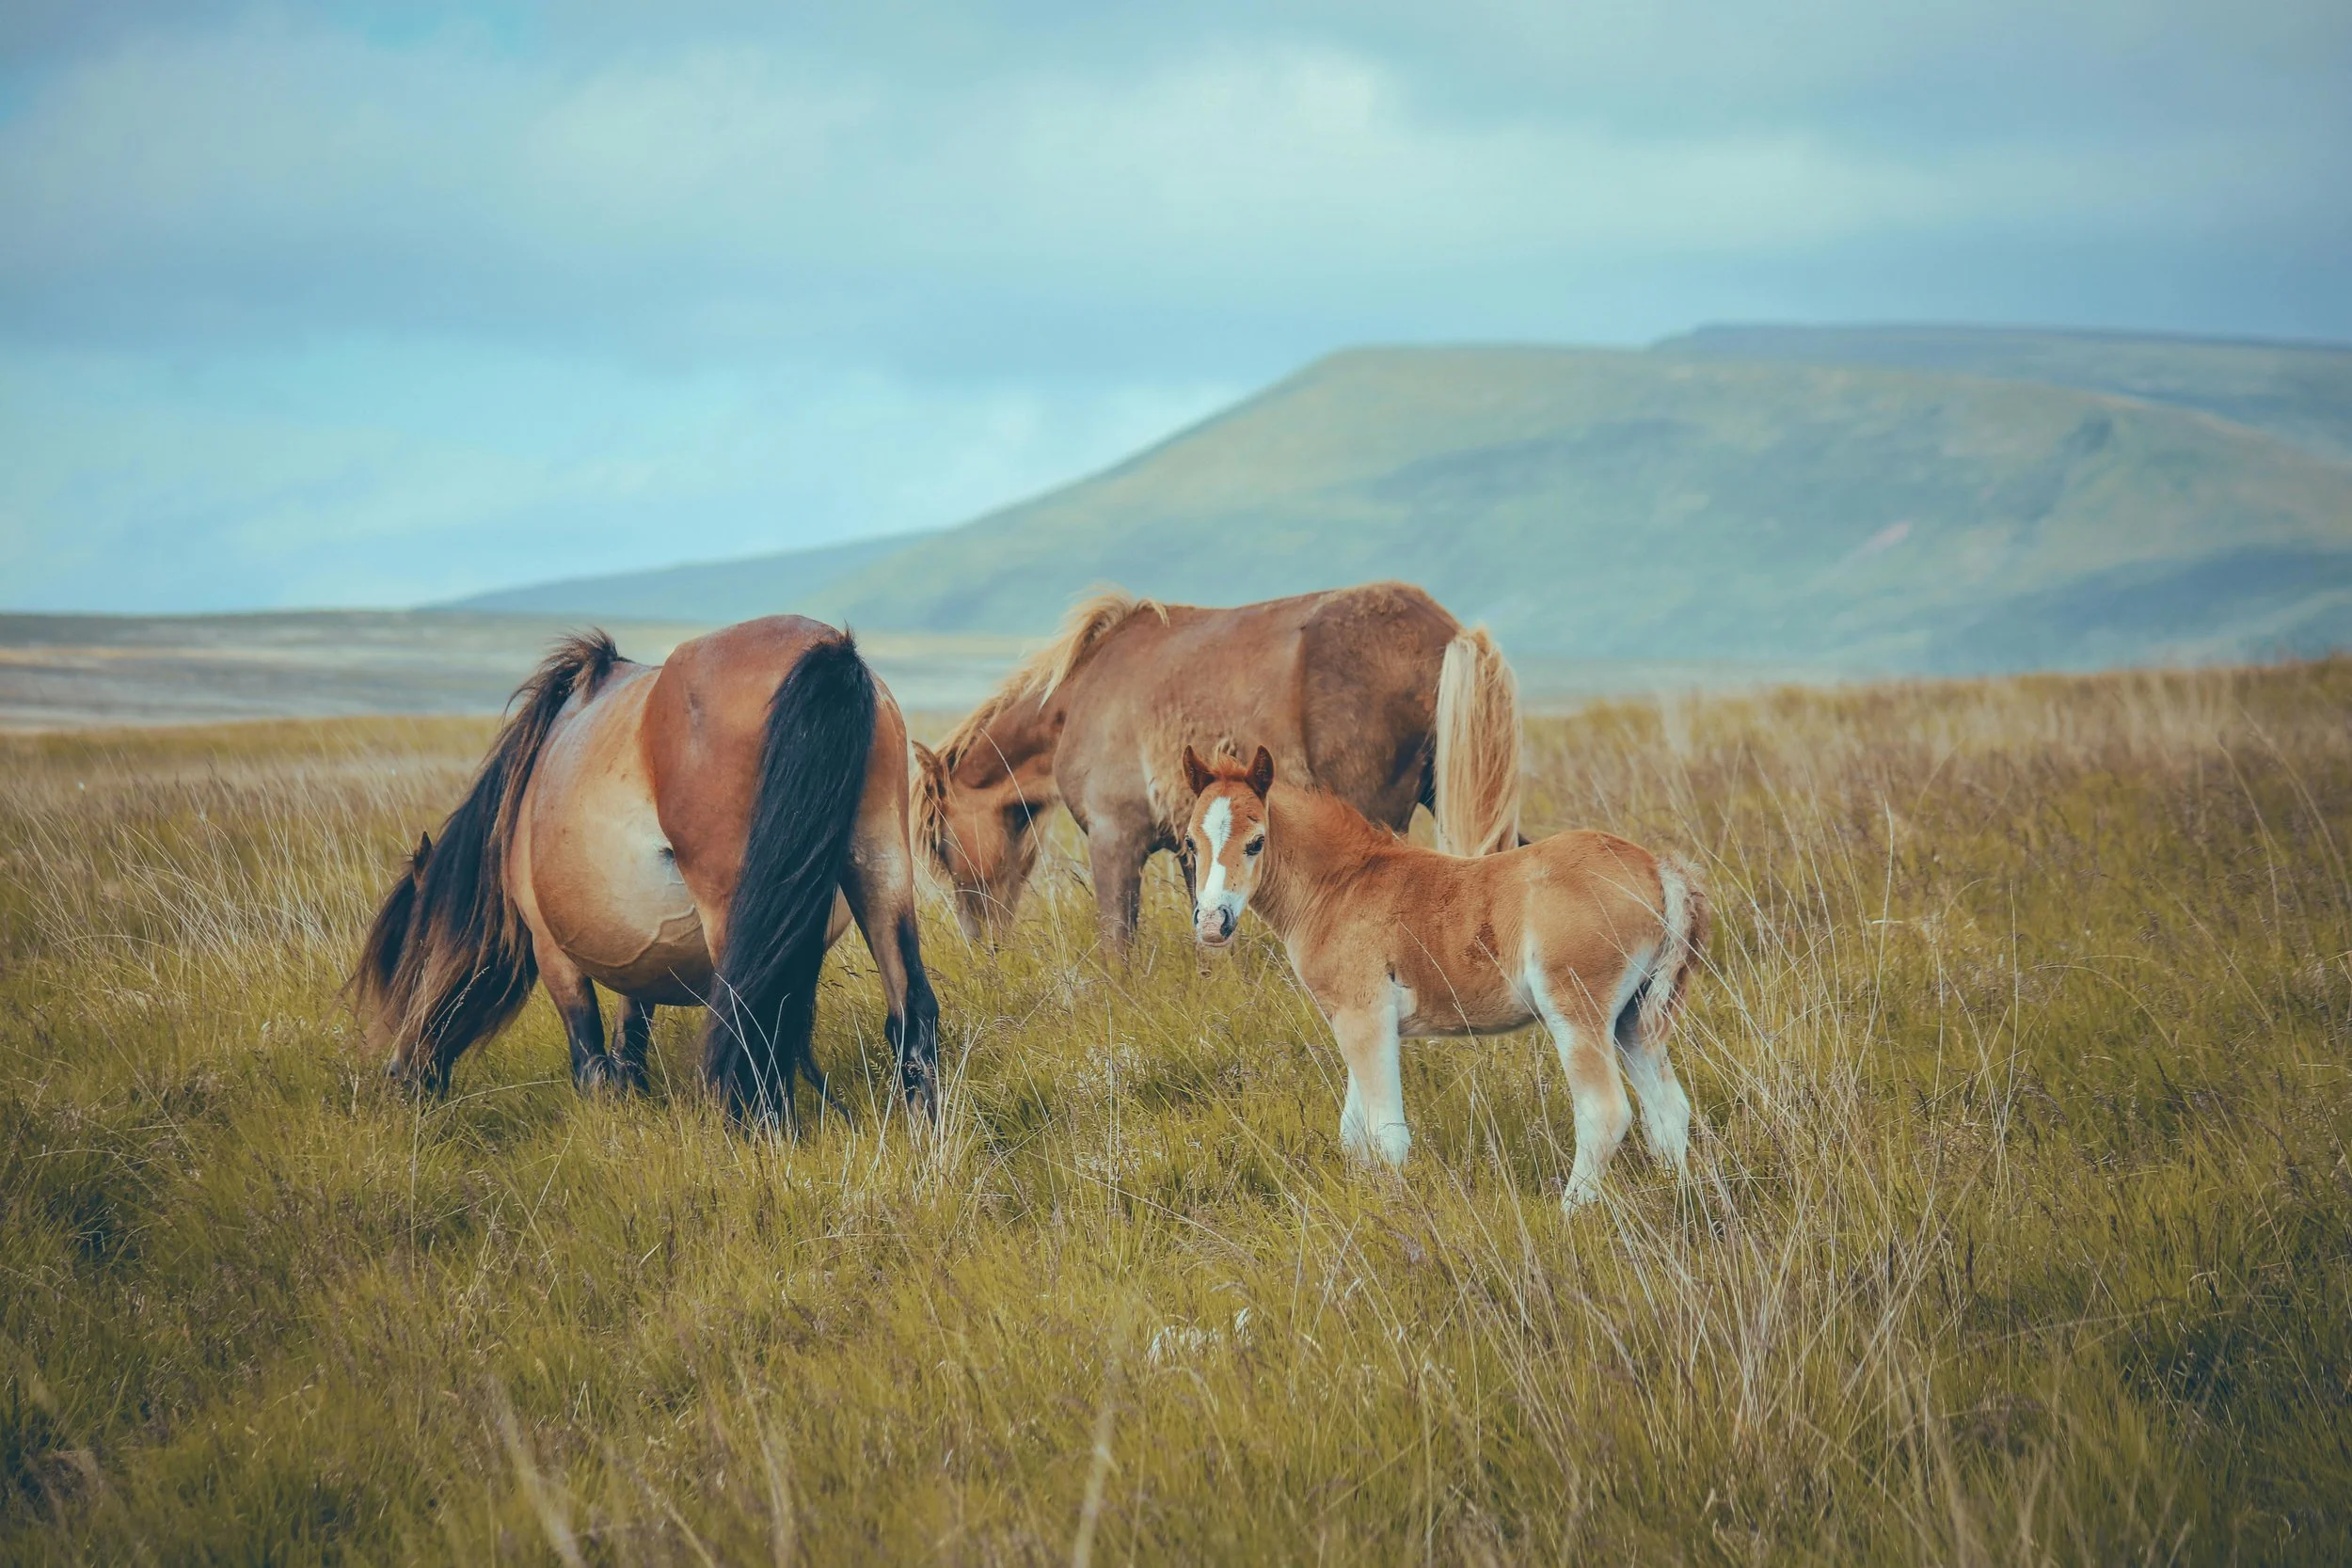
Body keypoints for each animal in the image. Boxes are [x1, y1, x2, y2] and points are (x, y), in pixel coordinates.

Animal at [351, 617, 940, 1127]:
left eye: (410, 960)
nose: (398, 1076)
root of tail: (827, 648)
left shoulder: (550, 947)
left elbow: (590, 1057)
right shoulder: (646, 951)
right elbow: (630, 1040)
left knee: (754, 1028)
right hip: (880, 871)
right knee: (910, 1011)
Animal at [911, 581, 1522, 959]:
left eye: (940, 843)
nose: (980, 944)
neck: (1076, 698)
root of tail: (1448, 632)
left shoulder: (1115, 841)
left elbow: (1117, 948)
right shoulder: (1193, 848)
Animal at [1179, 744, 1707, 1209]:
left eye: (1256, 842)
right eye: (1189, 842)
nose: (1212, 923)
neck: (1342, 886)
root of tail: (1656, 868)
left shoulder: (1364, 1019)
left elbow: (1386, 1135)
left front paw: (1394, 1209)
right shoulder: (1359, 1023)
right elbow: (1355, 1134)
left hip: (1578, 1012)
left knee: (1605, 1112)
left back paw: (1571, 1213)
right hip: (1633, 1020)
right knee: (1669, 1111)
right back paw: (1678, 1199)